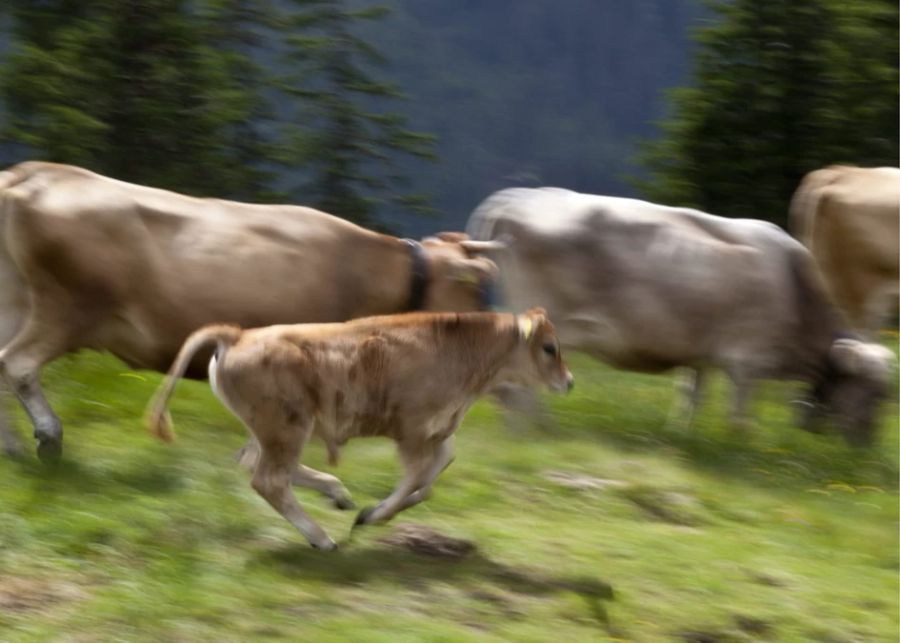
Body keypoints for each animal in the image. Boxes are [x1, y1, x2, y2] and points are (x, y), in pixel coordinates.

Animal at [0, 164, 496, 460]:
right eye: (477, 296)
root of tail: (34, 173)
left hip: (18, 303)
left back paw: (13, 449)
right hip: (69, 307)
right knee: (17, 363)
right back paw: (48, 436)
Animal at [144, 310, 572, 552]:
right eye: (549, 347)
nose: (569, 382)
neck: (457, 349)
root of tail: (238, 334)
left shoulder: (439, 429)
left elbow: (433, 476)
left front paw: (372, 511)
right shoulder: (413, 429)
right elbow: (417, 476)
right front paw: (374, 515)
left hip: (273, 431)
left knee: (258, 465)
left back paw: (338, 495)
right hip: (287, 429)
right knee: (269, 479)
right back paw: (321, 538)